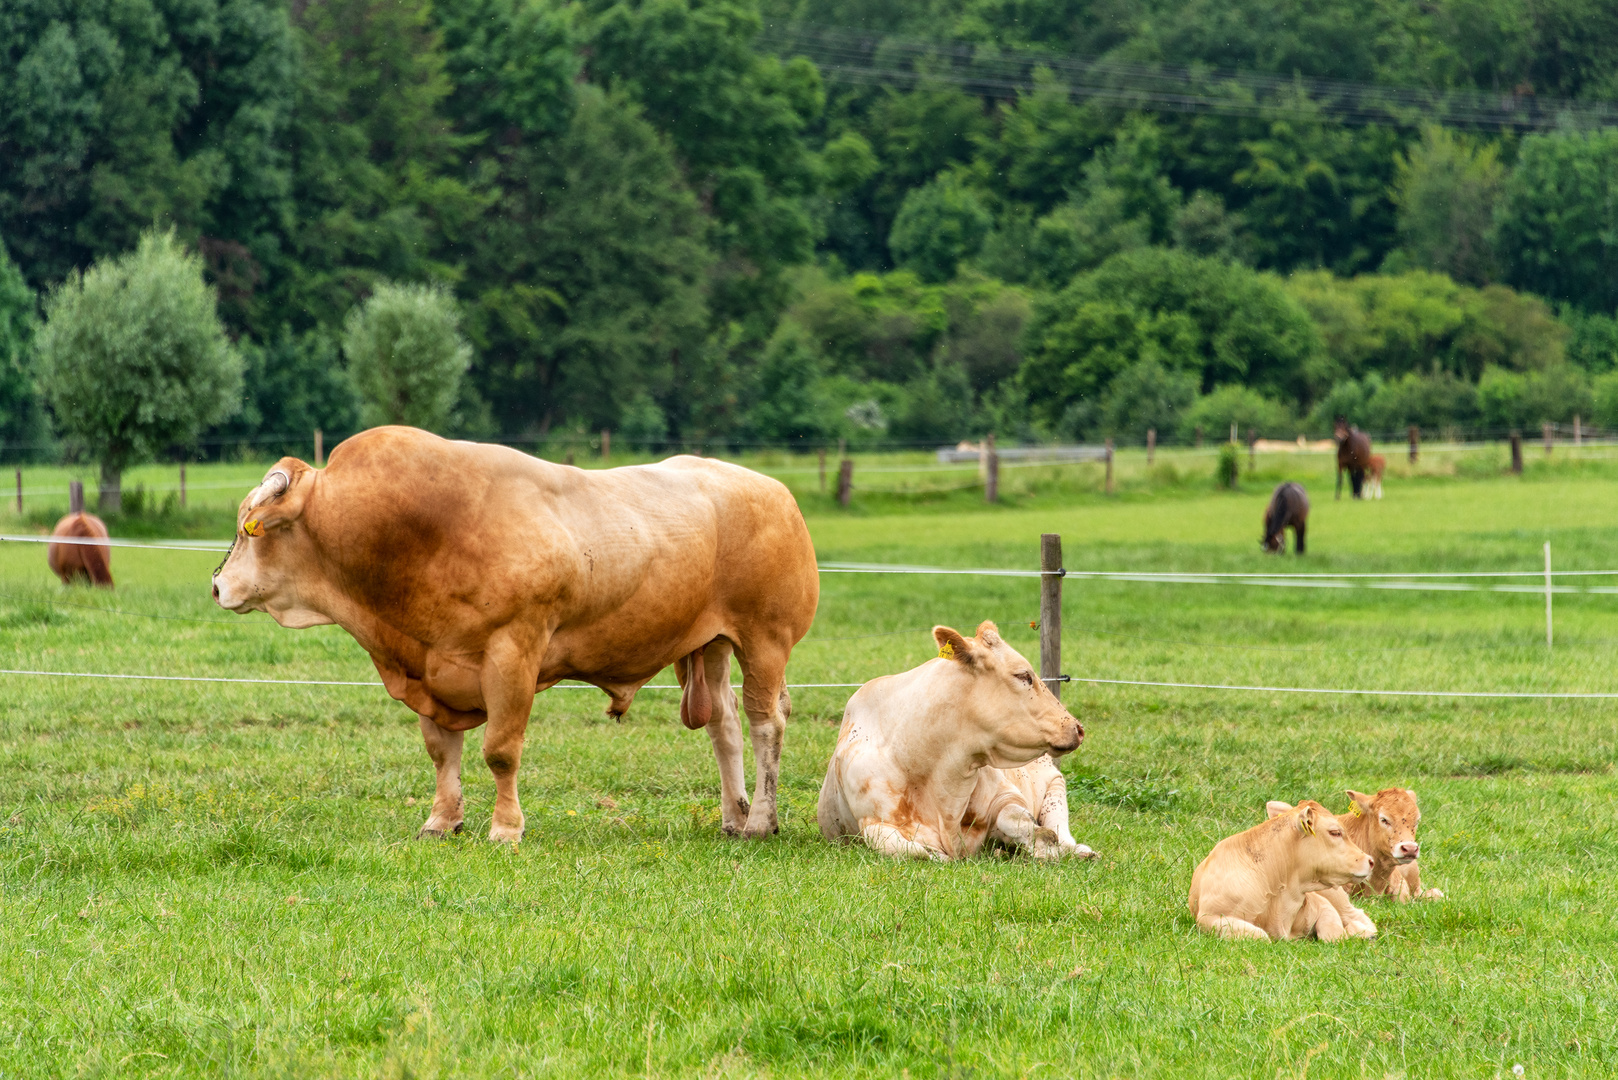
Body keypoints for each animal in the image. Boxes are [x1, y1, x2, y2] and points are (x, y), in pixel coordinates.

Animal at [211, 427, 821, 841]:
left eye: (249, 528)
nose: (216, 585)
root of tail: (771, 488)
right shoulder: (431, 662)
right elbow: (441, 752)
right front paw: (442, 819)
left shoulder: (514, 652)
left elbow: (501, 751)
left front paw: (505, 828)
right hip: (710, 644)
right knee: (724, 725)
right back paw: (732, 817)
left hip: (764, 639)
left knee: (766, 722)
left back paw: (760, 821)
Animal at [815, 625, 1093, 861]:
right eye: (1023, 675)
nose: (1077, 728)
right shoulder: (872, 822)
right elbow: (908, 849)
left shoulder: (1006, 795)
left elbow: (1015, 817)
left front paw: (1044, 847)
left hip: (1055, 784)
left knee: (1061, 829)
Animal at [1190, 799, 1378, 939]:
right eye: (1335, 832)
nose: (1370, 861)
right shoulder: (1210, 918)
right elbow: (1261, 936)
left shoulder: (1322, 905)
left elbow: (1333, 934)